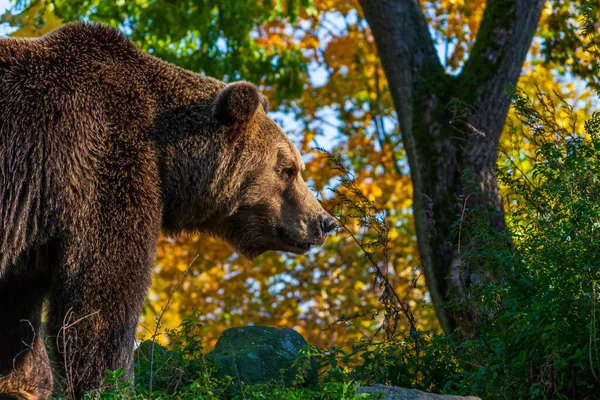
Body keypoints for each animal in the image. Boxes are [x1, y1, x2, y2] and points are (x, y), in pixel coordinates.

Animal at [0, 22, 336, 400]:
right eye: (288, 169)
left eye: (297, 167)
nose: (325, 222)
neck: (168, 158)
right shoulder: (100, 167)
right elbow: (103, 294)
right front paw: (113, 382)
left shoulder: (31, 225)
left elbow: (16, 312)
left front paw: (21, 384)